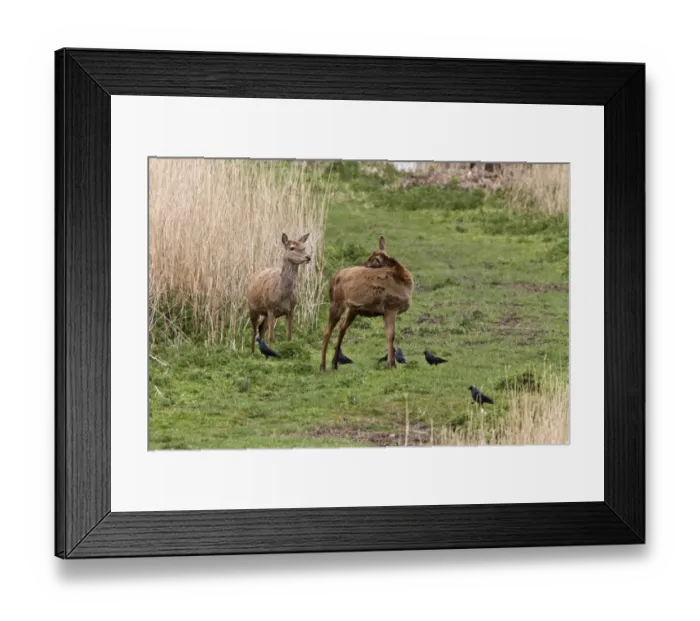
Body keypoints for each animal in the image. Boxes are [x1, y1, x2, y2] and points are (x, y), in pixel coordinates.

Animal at [320, 235, 414, 371]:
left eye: (371, 260)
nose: (362, 265)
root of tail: (333, 278)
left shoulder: (386, 311)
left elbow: (389, 335)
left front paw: (392, 363)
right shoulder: (391, 307)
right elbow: (391, 335)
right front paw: (390, 365)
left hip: (352, 309)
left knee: (342, 328)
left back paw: (334, 363)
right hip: (337, 302)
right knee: (327, 330)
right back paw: (322, 366)